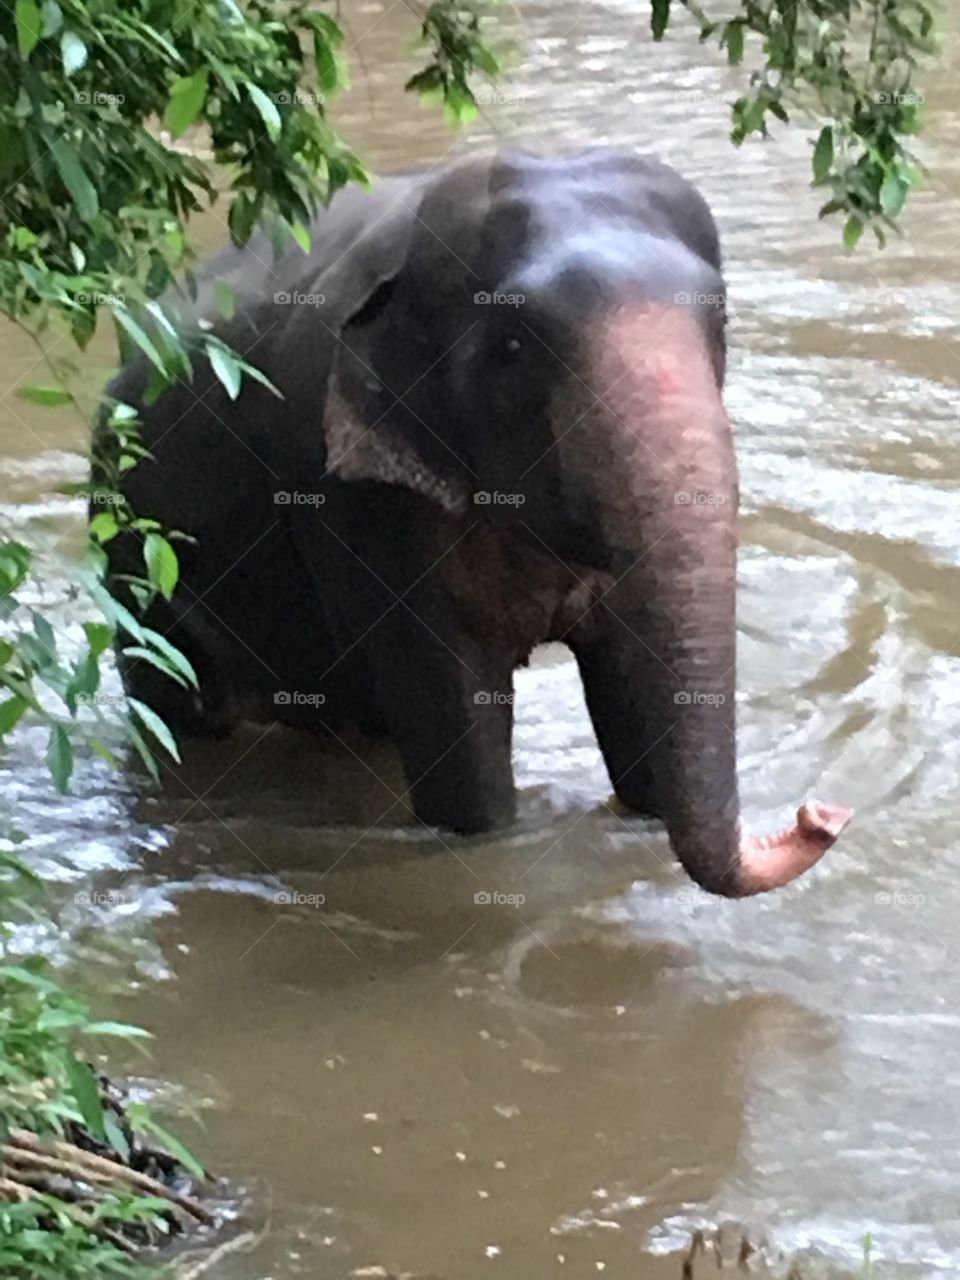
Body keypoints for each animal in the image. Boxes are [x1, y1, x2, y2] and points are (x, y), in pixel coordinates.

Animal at [97, 146, 851, 897]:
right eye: (513, 346)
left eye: (718, 326)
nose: (822, 814)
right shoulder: (359, 500)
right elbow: (463, 750)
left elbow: (632, 698)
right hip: (135, 563)